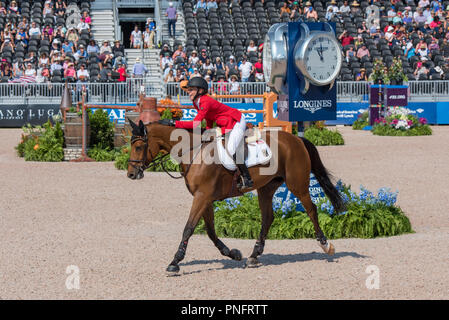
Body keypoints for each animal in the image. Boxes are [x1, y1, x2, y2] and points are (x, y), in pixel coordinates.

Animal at [128, 120, 344, 276]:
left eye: (138, 147)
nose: (131, 174)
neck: (194, 153)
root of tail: (297, 140)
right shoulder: (205, 199)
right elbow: (210, 231)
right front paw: (232, 253)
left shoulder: (202, 197)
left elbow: (188, 228)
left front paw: (174, 262)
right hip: (266, 188)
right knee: (268, 218)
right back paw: (254, 256)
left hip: (297, 185)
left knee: (311, 210)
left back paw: (326, 245)